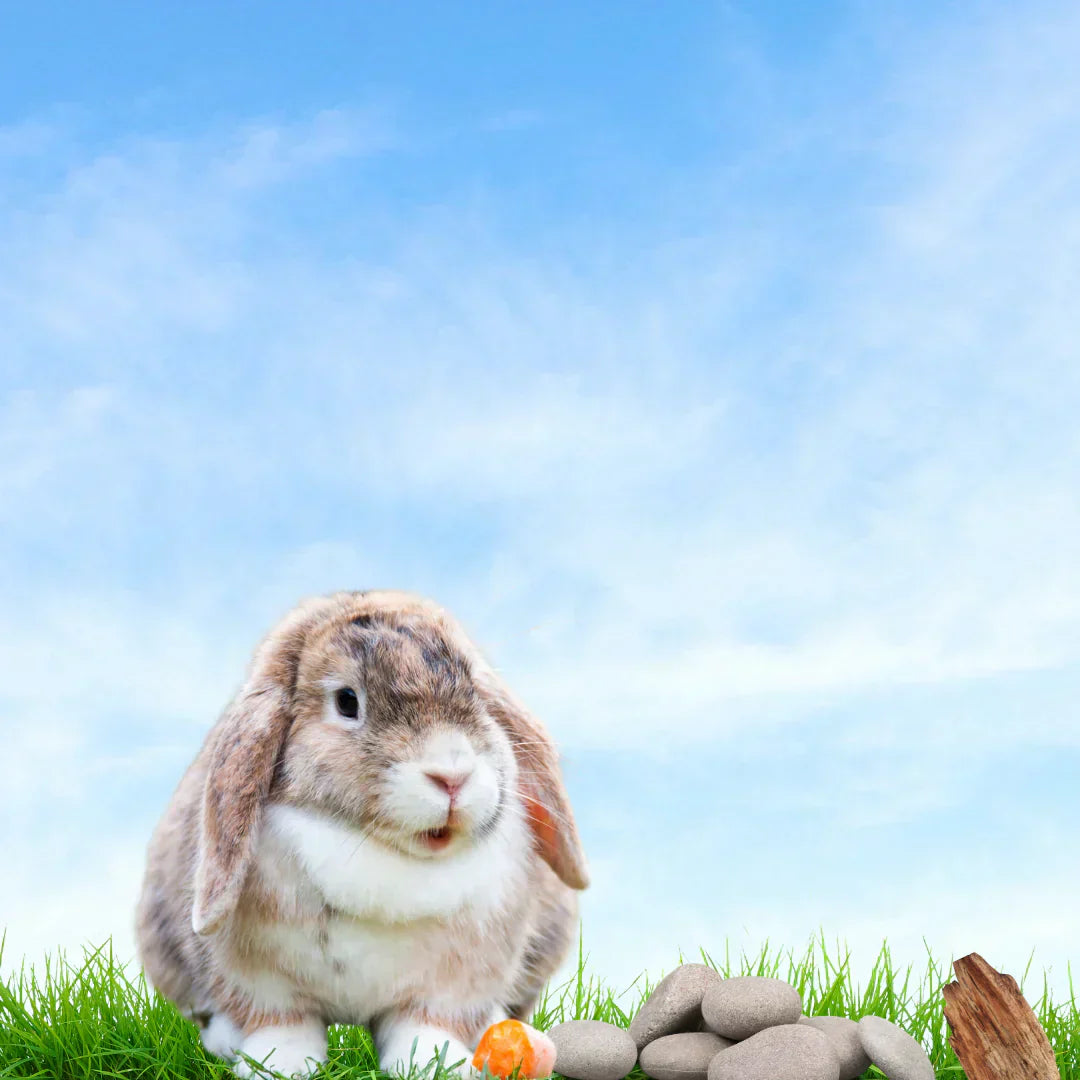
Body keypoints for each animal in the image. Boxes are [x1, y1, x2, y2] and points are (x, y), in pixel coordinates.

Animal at [134, 589, 589, 1079]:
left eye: (476, 693)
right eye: (347, 701)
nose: (452, 776)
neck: (378, 852)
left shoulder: (454, 984)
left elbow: (425, 1025)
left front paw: (434, 1064)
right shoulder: (258, 980)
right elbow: (281, 1022)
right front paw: (280, 1065)